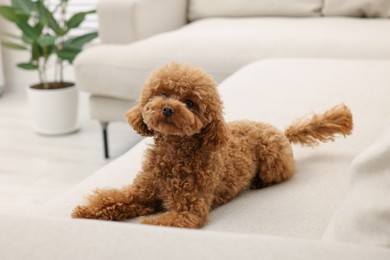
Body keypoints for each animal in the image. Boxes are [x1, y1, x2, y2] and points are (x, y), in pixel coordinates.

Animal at [71, 62, 354, 229]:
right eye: (161, 94)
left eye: (190, 102)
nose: (167, 108)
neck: (174, 153)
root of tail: (280, 131)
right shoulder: (141, 193)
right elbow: (113, 199)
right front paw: (84, 211)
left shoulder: (189, 211)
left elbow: (156, 222)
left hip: (273, 161)